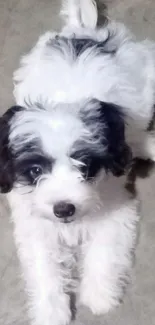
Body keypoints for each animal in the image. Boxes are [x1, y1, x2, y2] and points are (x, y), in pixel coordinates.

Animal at [0, 0, 154, 324]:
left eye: (85, 165)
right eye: (35, 170)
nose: (64, 209)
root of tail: (83, 31)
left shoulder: (116, 208)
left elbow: (104, 250)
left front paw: (99, 296)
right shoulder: (35, 224)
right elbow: (43, 266)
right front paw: (51, 311)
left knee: (135, 131)